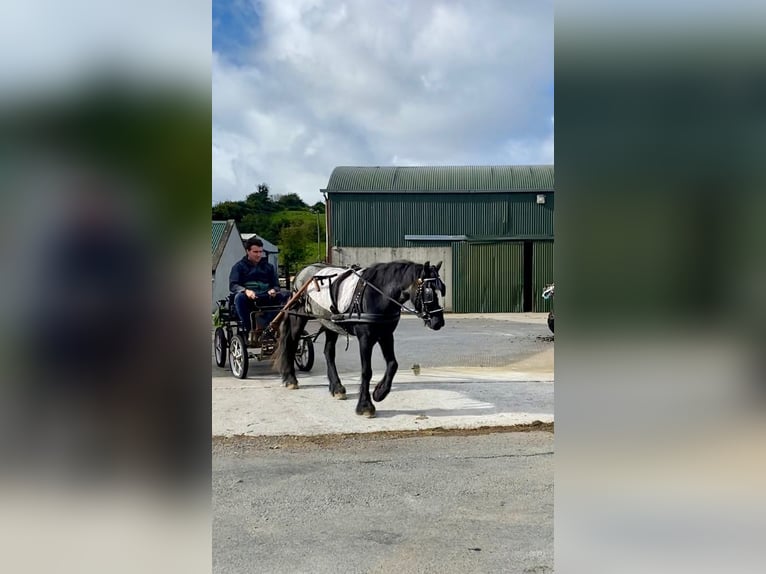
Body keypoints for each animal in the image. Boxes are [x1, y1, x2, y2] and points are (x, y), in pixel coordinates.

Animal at [272, 260, 448, 418]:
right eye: (429, 292)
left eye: (442, 289)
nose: (438, 322)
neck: (379, 295)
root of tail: (301, 273)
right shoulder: (365, 339)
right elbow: (366, 371)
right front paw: (365, 406)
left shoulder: (386, 335)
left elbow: (393, 364)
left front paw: (379, 393)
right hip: (298, 317)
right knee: (291, 343)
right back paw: (290, 379)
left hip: (331, 323)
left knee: (328, 352)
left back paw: (336, 387)